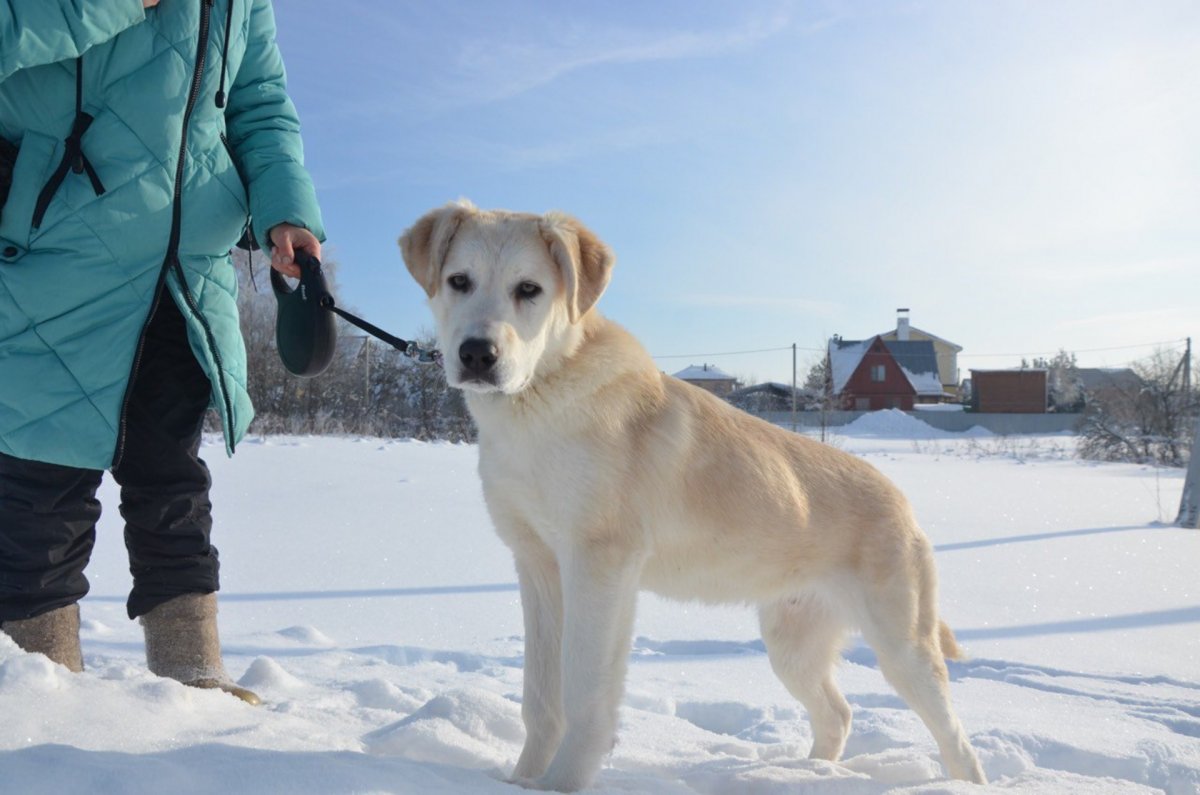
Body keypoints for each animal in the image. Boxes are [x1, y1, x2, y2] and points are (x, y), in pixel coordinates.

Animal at [400, 200, 984, 792]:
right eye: (459, 281)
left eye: (529, 289)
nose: (477, 354)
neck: (538, 402)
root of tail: (901, 501)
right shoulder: (537, 566)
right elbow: (540, 697)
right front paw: (522, 781)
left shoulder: (600, 566)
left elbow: (584, 692)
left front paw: (562, 783)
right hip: (791, 646)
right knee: (838, 714)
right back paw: (808, 772)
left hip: (902, 647)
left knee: (957, 738)